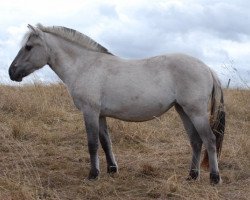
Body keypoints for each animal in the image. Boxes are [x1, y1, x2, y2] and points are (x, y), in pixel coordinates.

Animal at [8, 23, 226, 184]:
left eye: (28, 47)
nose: (12, 72)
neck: (85, 66)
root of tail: (207, 68)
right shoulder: (100, 115)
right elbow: (106, 142)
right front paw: (112, 169)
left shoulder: (90, 112)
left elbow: (93, 144)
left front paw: (93, 174)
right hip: (183, 111)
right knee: (196, 141)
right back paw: (192, 176)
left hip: (196, 112)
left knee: (209, 140)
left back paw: (214, 178)